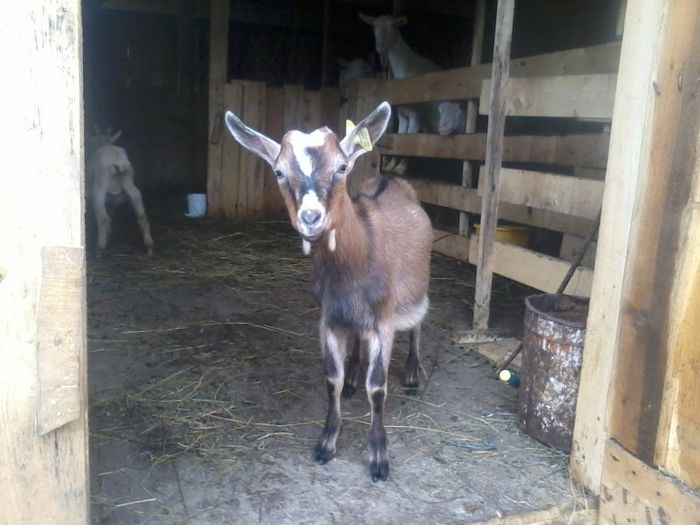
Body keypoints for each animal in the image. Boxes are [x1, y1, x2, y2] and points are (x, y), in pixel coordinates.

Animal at [86, 127, 153, 258]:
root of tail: (117, 160)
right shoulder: (112, 201)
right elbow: (111, 214)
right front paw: (109, 233)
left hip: (99, 189)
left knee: (103, 219)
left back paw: (99, 250)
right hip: (131, 186)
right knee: (142, 216)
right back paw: (149, 247)